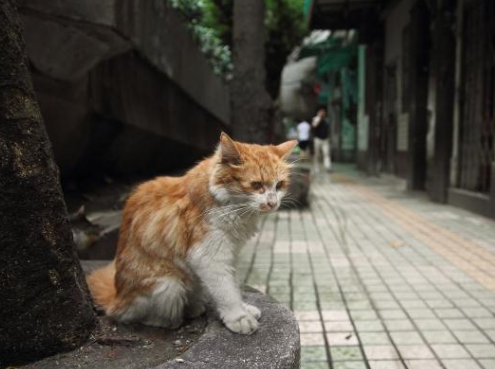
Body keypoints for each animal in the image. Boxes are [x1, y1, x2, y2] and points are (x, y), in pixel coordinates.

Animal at [87, 132, 296, 334]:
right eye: (256, 185)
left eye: (279, 185)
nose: (273, 203)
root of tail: (116, 299)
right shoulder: (209, 257)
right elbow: (227, 291)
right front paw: (239, 317)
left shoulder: (230, 253)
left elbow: (233, 286)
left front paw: (244, 309)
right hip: (168, 285)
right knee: (145, 319)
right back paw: (173, 319)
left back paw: (194, 307)